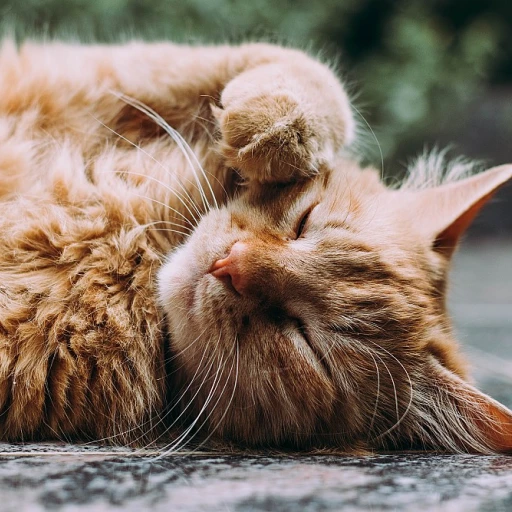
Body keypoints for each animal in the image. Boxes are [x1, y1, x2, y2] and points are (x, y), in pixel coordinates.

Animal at [1, 40, 512, 452]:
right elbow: (304, 70)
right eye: (305, 223)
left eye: (308, 343)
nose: (231, 265)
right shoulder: (87, 75)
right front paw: (272, 128)